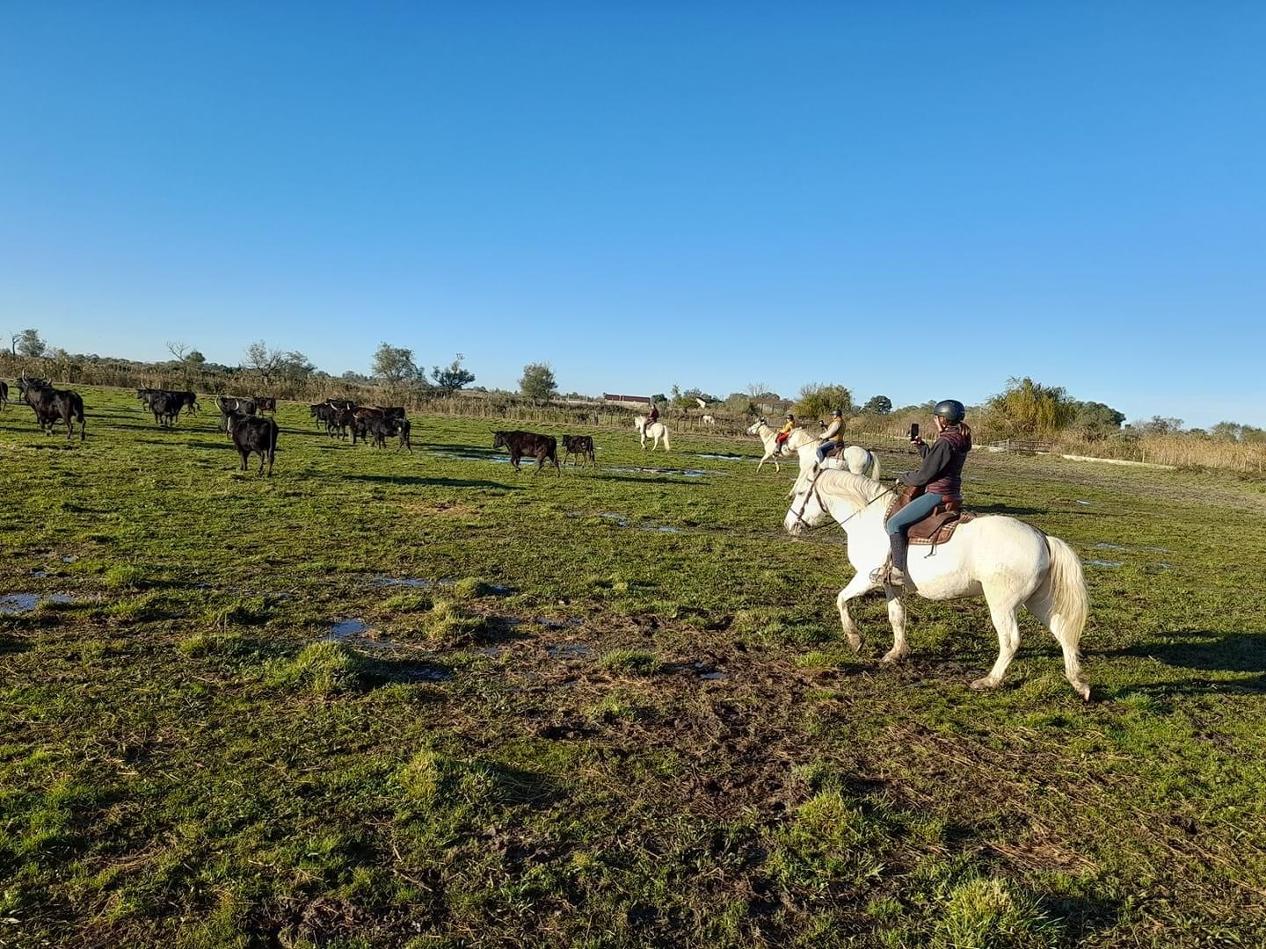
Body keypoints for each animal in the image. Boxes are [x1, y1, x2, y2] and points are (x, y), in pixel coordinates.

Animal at [779, 468, 1088, 698]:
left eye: (800, 493)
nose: (788, 525)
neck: (868, 520)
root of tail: (1042, 537)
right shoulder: (892, 585)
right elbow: (896, 618)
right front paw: (896, 653)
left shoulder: (867, 577)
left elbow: (841, 599)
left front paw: (855, 639)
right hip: (1038, 601)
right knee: (1063, 634)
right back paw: (1079, 683)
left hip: (1003, 604)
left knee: (1011, 640)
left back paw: (990, 681)